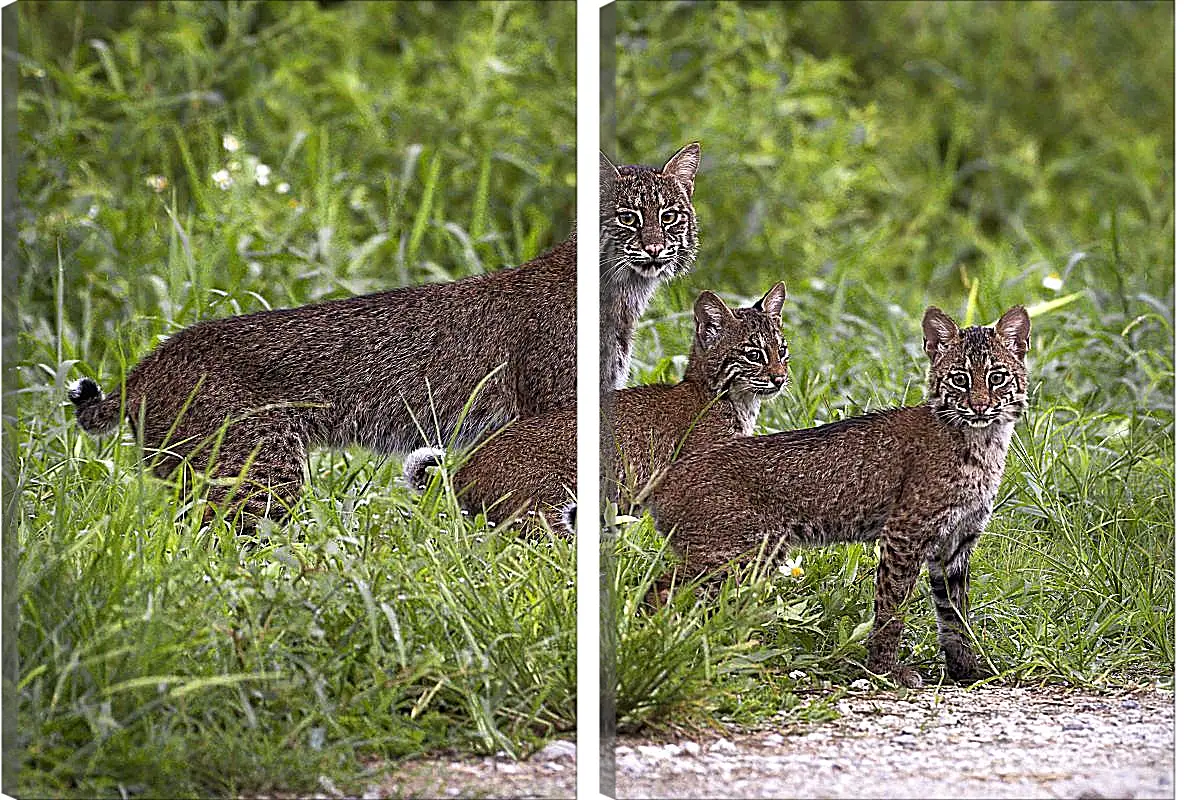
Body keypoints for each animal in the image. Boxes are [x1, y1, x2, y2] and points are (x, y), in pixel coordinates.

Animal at [404, 281, 786, 530]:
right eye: (754, 355)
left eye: (782, 350)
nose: (781, 378)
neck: (733, 400)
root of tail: (464, 466)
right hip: (550, 503)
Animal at [648, 305, 1027, 686]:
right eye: (959, 379)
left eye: (997, 378)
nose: (979, 407)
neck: (984, 440)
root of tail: (669, 476)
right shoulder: (905, 533)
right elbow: (892, 607)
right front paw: (885, 669)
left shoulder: (957, 541)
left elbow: (954, 615)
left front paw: (968, 671)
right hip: (734, 555)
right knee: (661, 589)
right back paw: (666, 649)